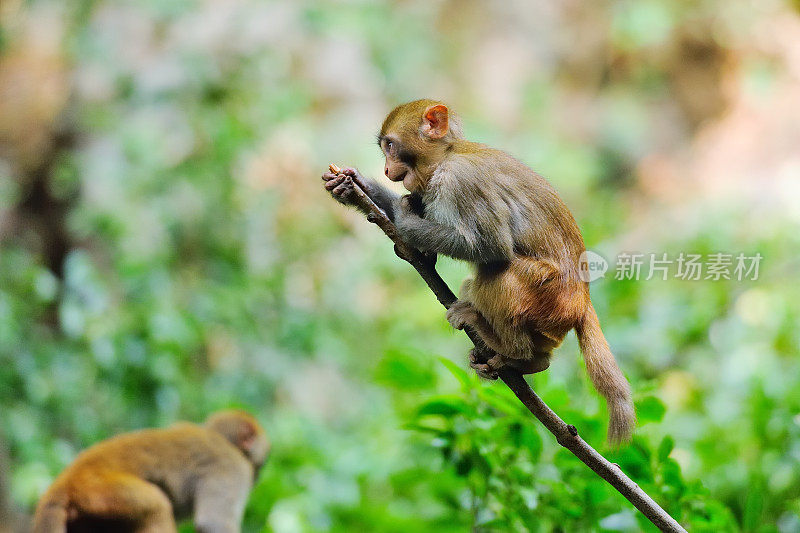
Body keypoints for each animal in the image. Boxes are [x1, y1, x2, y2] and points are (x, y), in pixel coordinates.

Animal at [32, 410, 268, 528]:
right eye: (261, 464)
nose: (257, 477)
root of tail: (66, 479)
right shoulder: (234, 468)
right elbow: (213, 523)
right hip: (99, 492)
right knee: (158, 506)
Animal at [322, 101, 636, 444]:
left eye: (390, 146)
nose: (386, 170)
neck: (446, 157)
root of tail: (583, 300)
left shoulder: (461, 183)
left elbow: (491, 246)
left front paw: (404, 219)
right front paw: (354, 186)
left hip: (550, 297)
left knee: (499, 275)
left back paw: (512, 350)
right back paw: (534, 361)